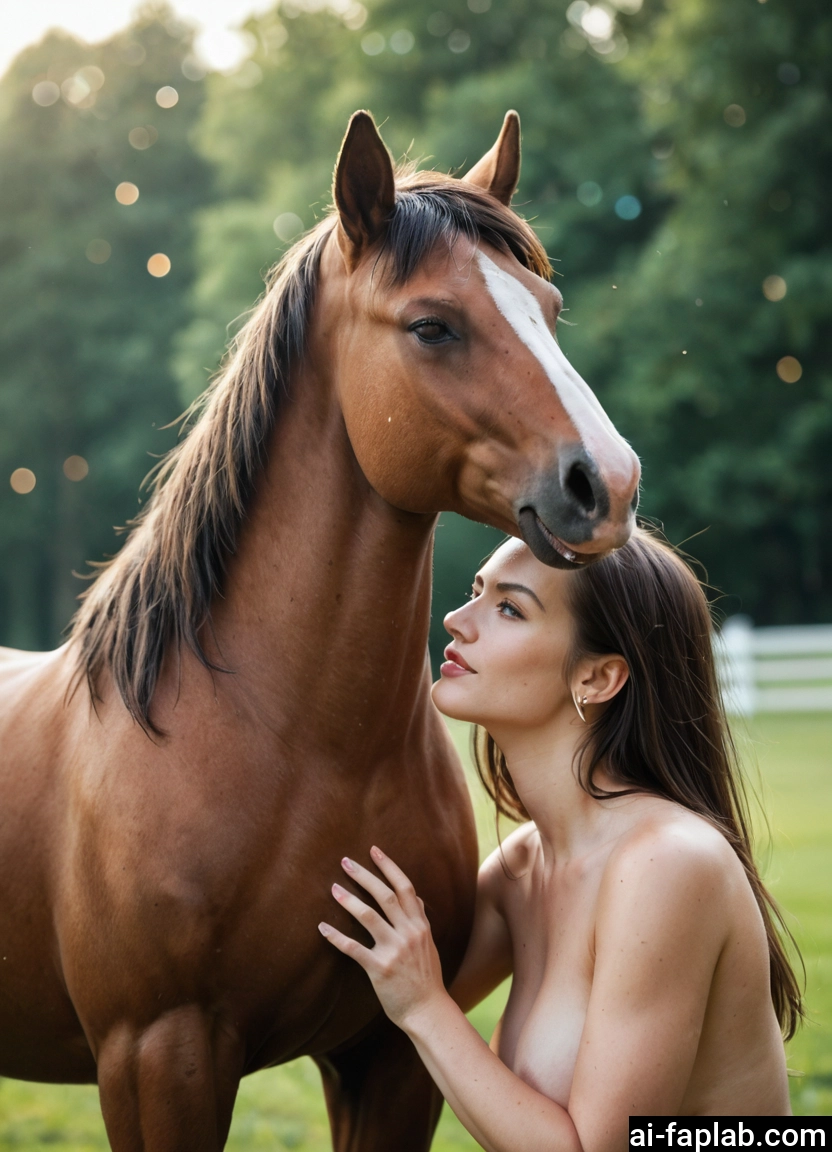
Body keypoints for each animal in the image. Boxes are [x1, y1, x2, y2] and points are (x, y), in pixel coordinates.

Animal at [0, 110, 640, 1150]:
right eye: (432, 324)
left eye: (546, 307)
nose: (608, 484)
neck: (305, 749)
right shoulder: (157, 1059)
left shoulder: (393, 1055)